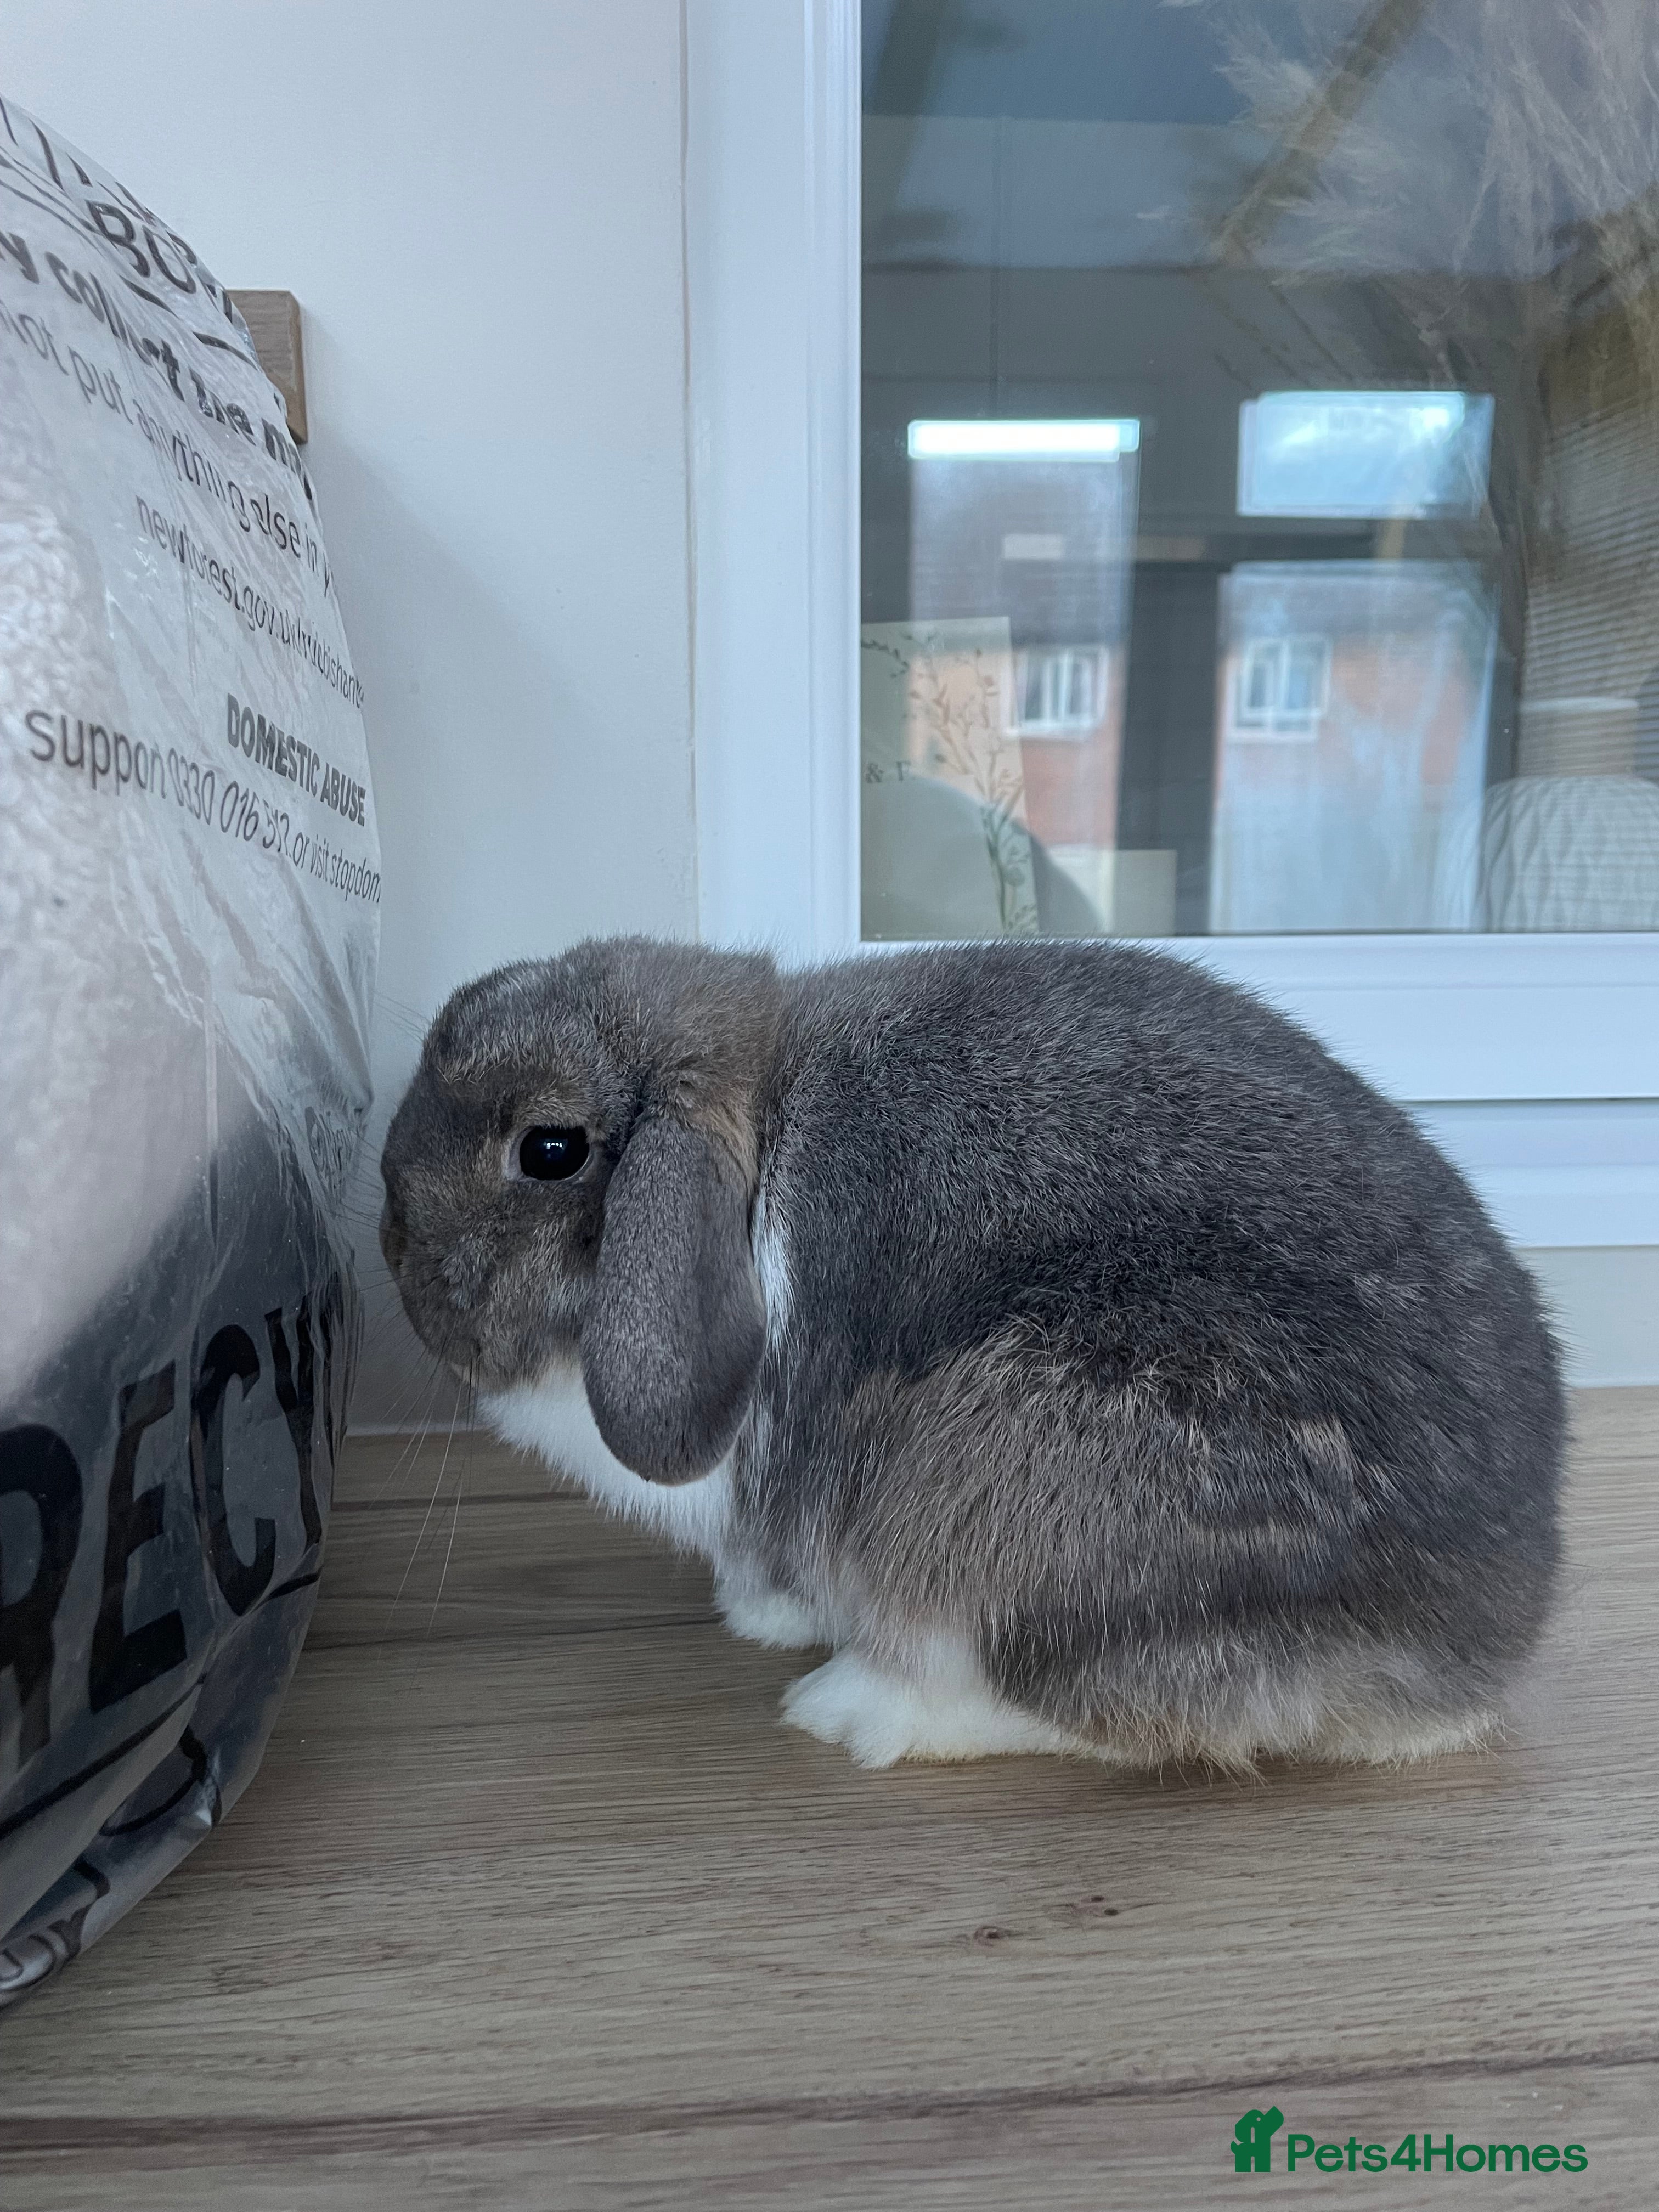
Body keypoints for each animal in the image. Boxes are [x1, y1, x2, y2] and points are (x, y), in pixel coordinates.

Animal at [379, 934, 1564, 1771]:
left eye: (548, 1149)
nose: (390, 1250)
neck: (755, 1158)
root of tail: (1484, 1646)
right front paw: (766, 1614)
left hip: (1001, 1478)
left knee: (1086, 1708)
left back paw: (855, 1711)